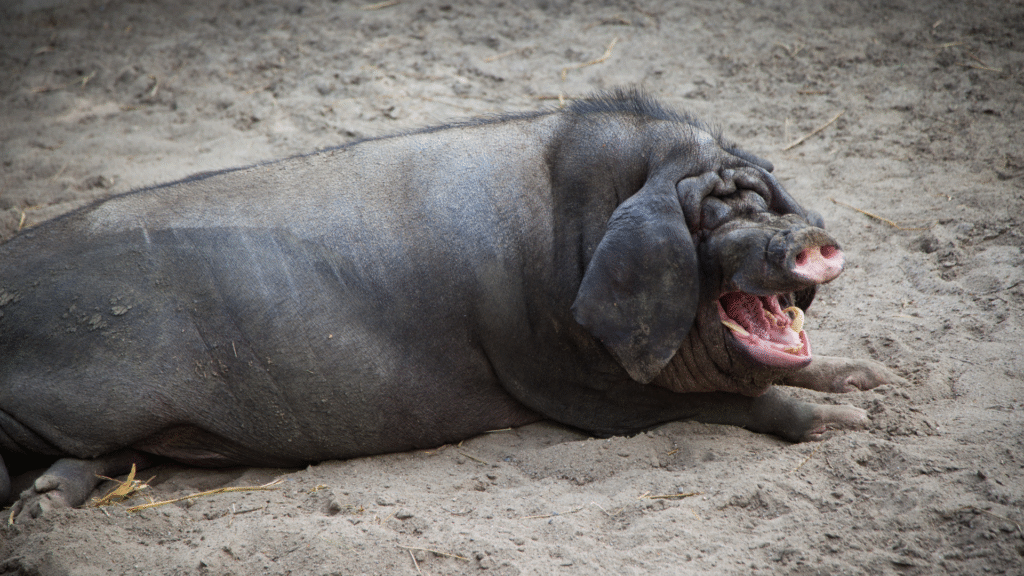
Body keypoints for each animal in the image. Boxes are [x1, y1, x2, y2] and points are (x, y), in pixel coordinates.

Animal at [0, 89, 904, 521]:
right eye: (713, 216)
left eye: (764, 199)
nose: (806, 238)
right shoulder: (573, 388)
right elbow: (738, 405)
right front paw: (848, 425)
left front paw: (872, 383)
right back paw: (38, 509)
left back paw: (47, 503)